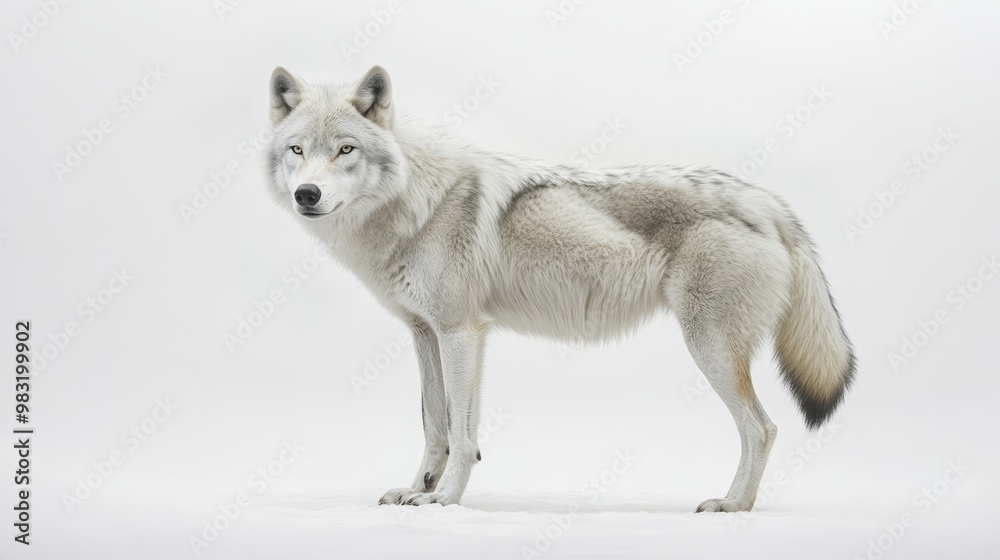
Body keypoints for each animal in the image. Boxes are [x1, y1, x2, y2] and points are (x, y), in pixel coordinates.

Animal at [264, 65, 855, 513]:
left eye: (345, 150)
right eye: (297, 150)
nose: (307, 194)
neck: (416, 204)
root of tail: (770, 203)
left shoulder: (462, 332)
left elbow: (462, 432)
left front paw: (445, 500)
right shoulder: (424, 333)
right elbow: (435, 425)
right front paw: (417, 489)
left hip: (709, 348)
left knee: (762, 428)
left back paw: (733, 506)